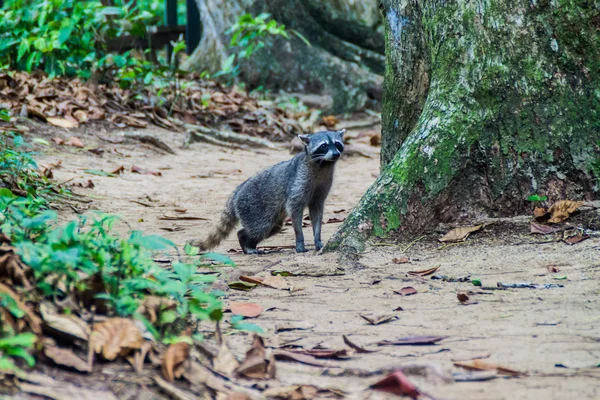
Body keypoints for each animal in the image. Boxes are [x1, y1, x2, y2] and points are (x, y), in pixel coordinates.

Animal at [190, 130, 344, 255]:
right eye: (324, 145)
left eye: (337, 144)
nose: (336, 154)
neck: (323, 164)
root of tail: (237, 191)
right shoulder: (298, 182)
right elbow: (294, 209)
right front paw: (300, 239)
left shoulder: (321, 189)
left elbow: (317, 212)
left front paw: (317, 237)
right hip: (252, 206)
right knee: (258, 227)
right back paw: (245, 241)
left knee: (272, 228)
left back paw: (249, 244)